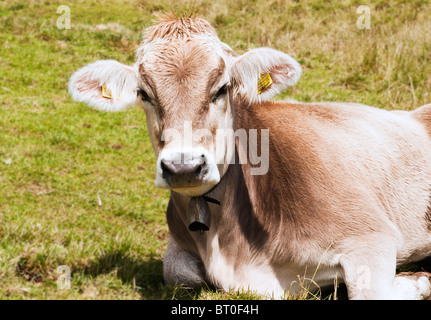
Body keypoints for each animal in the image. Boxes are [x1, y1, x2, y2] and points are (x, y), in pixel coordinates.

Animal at [69, 13, 431, 298]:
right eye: (144, 93)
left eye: (221, 89)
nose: (183, 167)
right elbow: (178, 274)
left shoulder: (370, 235)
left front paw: (415, 282)